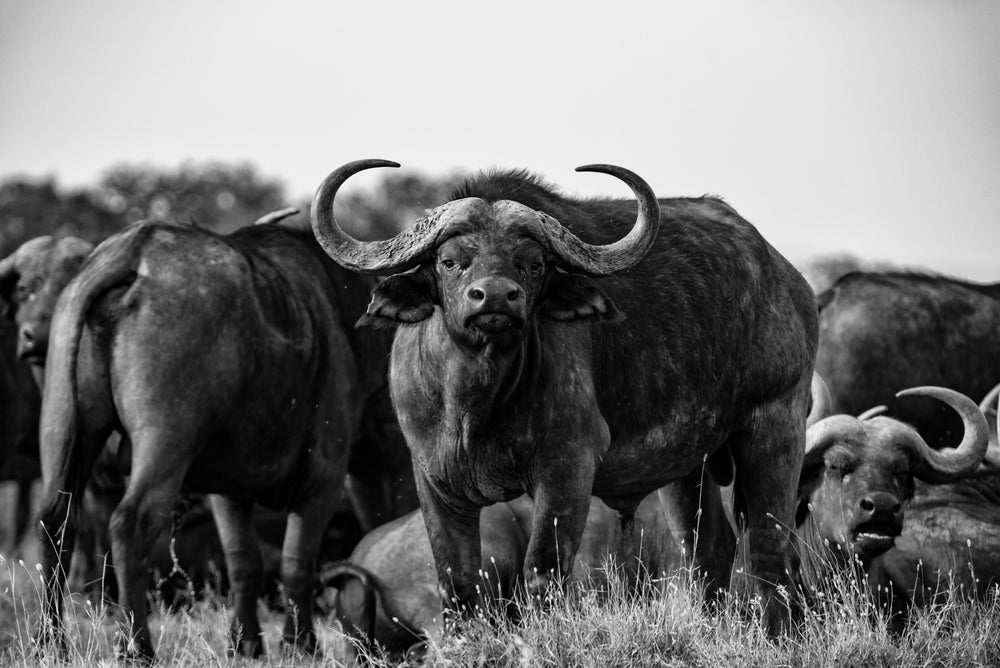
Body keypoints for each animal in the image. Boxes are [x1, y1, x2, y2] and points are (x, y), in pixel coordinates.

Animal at [36, 216, 413, 660]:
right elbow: (297, 563)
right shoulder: (323, 479)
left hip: (64, 426)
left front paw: (245, 642)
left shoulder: (229, 491)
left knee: (56, 520)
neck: (339, 324)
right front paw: (300, 642)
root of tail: (135, 251)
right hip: (164, 443)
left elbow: (243, 561)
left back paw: (50, 642)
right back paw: (137, 647)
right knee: (130, 524)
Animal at [311, 160, 819, 633]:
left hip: (777, 427)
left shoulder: (567, 468)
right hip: (687, 464)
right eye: (450, 260)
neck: (476, 404)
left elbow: (544, 574)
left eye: (532, 263)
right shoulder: (434, 482)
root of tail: (789, 280)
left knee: (770, 549)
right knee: (709, 549)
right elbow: (457, 585)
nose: (496, 298)